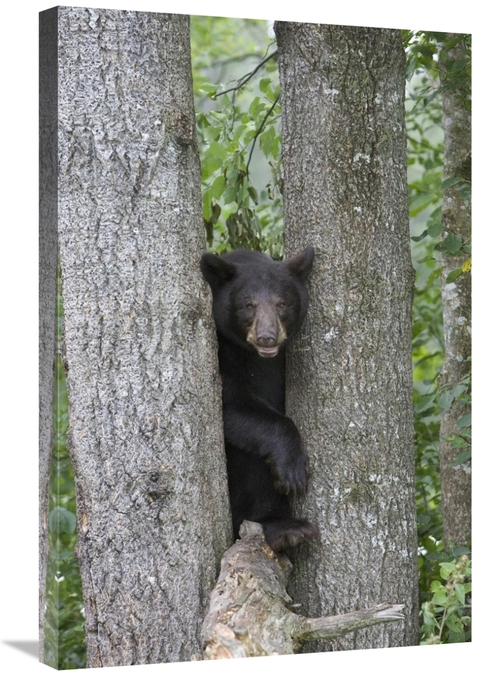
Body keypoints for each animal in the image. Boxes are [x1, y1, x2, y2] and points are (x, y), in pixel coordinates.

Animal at [200, 247, 319, 551]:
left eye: (282, 303)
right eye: (249, 305)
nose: (267, 337)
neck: (256, 357)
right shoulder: (222, 354)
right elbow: (231, 404)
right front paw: (293, 469)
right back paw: (283, 528)